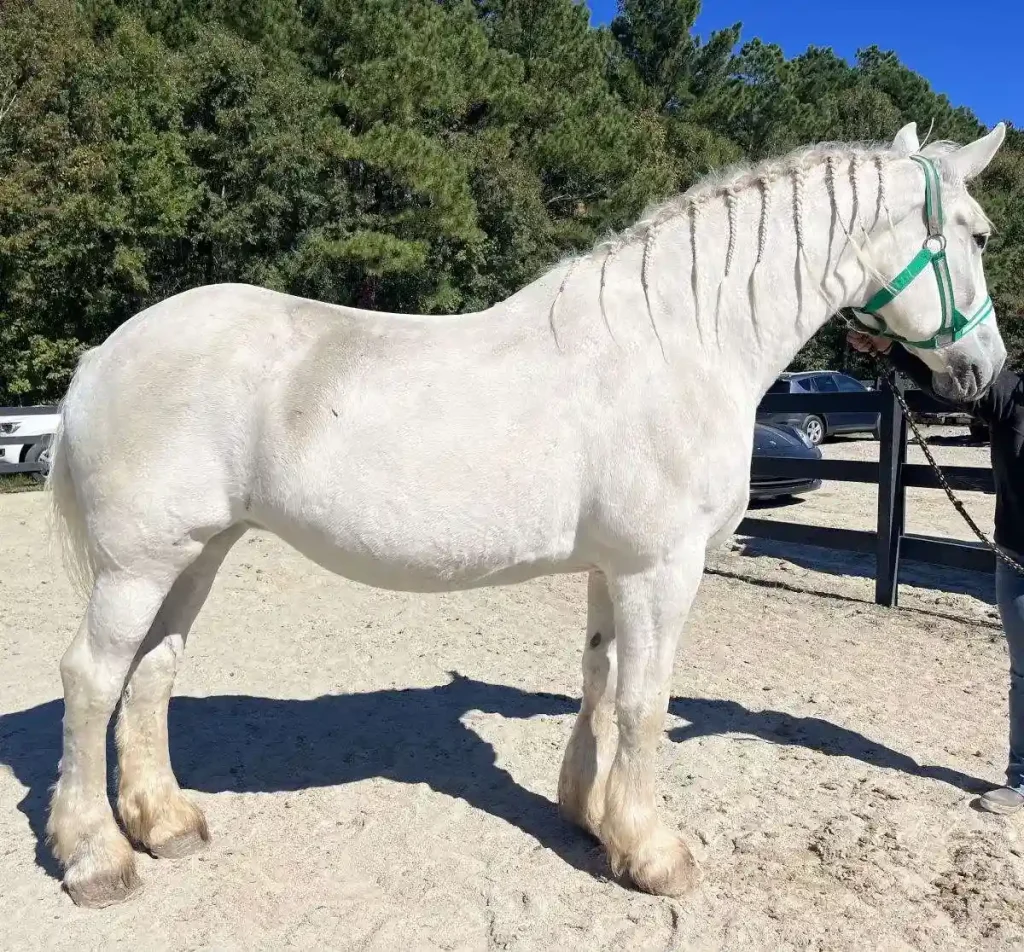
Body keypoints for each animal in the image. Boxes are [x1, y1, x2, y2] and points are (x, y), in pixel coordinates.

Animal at [44, 120, 1003, 904]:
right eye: (979, 234)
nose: (985, 372)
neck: (678, 344)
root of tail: (105, 352)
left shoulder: (615, 570)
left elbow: (600, 680)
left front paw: (591, 818)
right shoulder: (662, 568)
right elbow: (645, 701)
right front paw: (656, 855)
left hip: (196, 553)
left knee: (152, 673)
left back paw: (165, 824)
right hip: (139, 564)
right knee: (92, 678)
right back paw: (97, 858)